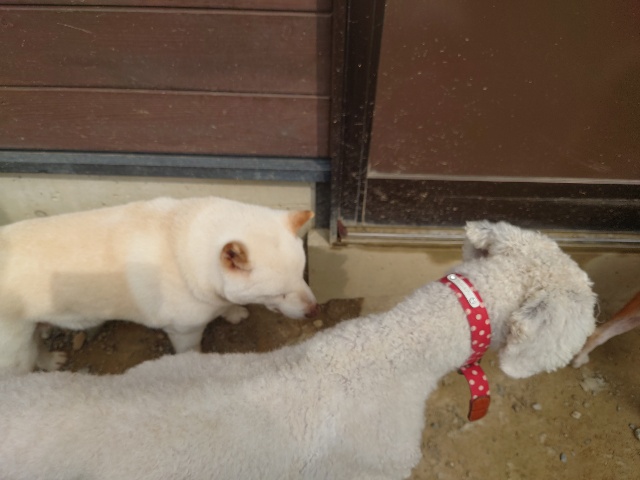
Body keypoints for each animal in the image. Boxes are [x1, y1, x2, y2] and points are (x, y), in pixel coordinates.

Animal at [0, 196, 318, 375]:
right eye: (278, 293)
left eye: (302, 275)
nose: (313, 310)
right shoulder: (184, 331)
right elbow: (192, 350)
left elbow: (227, 304)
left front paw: (232, 312)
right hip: (14, 353)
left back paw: (51, 360)